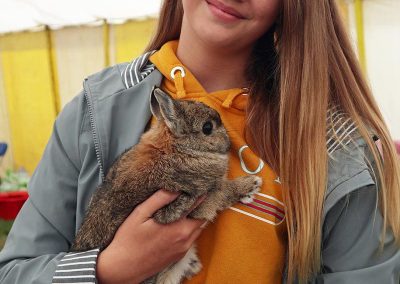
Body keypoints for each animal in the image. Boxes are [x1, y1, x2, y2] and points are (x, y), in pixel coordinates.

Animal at [71, 87, 262, 282]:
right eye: (207, 128)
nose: (228, 143)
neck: (175, 148)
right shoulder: (198, 199)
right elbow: (224, 193)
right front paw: (251, 185)